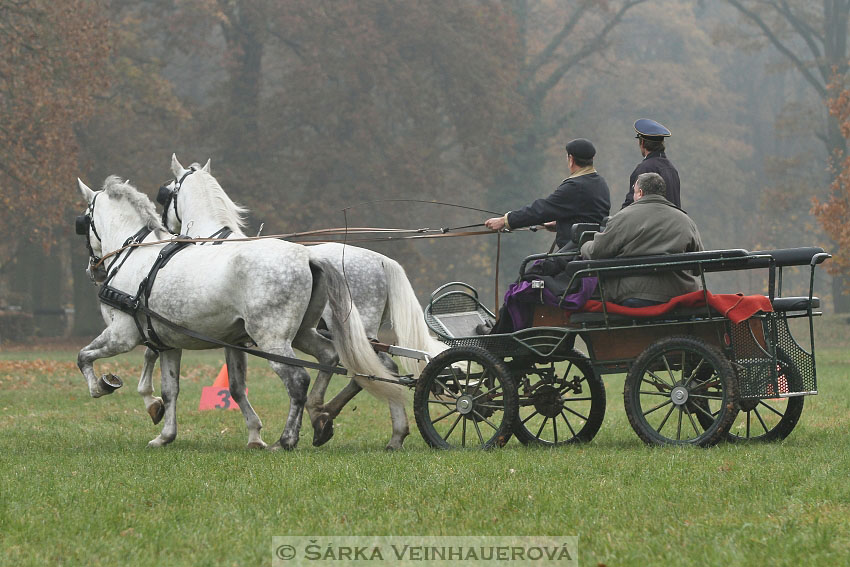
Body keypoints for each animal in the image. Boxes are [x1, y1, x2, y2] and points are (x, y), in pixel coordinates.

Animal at [74, 175, 410, 450]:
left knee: (302, 379)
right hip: (304, 333)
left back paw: (288, 439)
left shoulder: (122, 335)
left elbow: (83, 356)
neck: (135, 257)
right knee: (336, 359)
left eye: (84, 220)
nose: (93, 268)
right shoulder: (172, 343)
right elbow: (176, 390)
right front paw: (165, 434)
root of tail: (308, 257)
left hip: (274, 338)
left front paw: (102, 386)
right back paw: (327, 418)